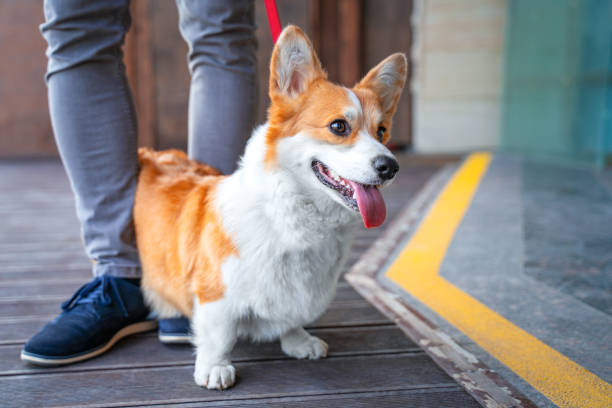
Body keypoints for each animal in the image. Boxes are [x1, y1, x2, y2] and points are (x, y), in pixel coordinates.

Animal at [134, 24, 406, 388]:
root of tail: (152, 154)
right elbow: (219, 335)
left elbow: (290, 318)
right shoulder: (216, 294)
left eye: (382, 131)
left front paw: (298, 341)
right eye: (338, 126)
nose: (390, 166)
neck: (293, 216)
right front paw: (215, 367)